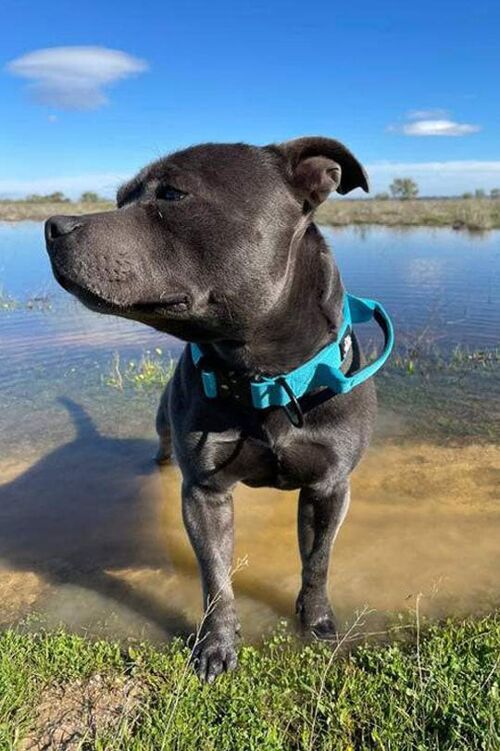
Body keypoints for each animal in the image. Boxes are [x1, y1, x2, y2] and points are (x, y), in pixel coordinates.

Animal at [47, 135, 380, 680]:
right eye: (119, 199)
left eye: (173, 194)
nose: (53, 226)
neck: (264, 378)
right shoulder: (204, 493)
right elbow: (216, 577)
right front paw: (216, 645)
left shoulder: (330, 487)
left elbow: (318, 561)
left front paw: (317, 620)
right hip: (164, 424)